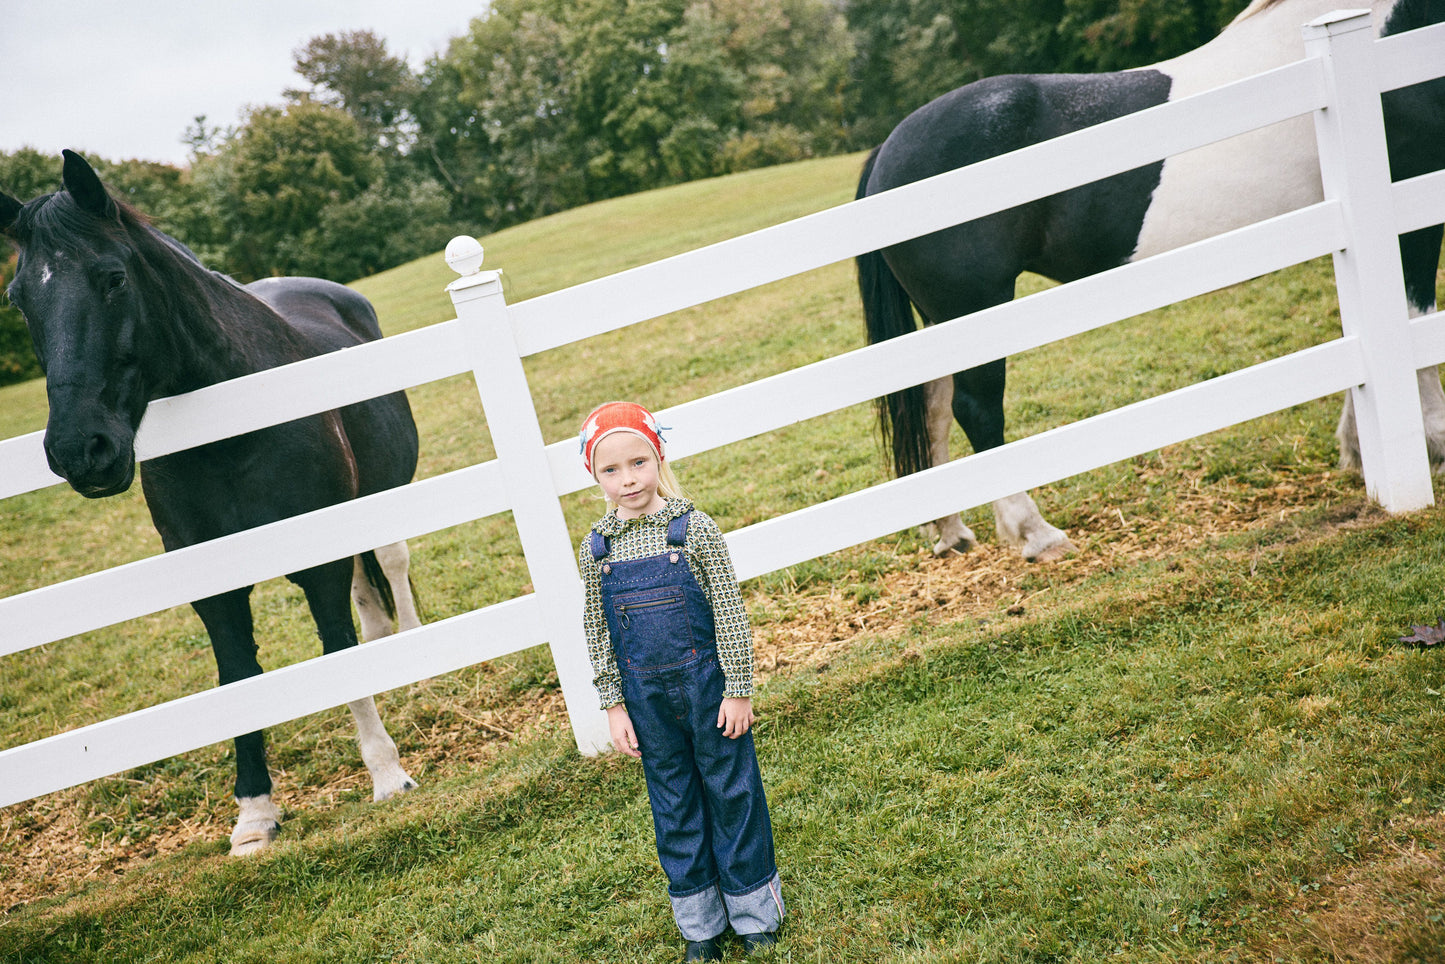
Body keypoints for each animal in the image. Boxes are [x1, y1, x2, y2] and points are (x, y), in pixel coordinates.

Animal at [0, 152, 424, 861]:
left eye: (113, 278)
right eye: (19, 299)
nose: (79, 450)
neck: (232, 427)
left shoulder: (318, 560)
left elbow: (337, 650)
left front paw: (387, 775)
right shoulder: (214, 585)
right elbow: (238, 680)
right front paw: (254, 815)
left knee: (389, 565)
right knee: (369, 597)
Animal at [855, 0, 1445, 557]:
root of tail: (886, 151)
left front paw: (1358, 448)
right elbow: (1415, 320)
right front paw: (1433, 440)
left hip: (945, 321)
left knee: (931, 408)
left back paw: (952, 532)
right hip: (976, 308)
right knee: (975, 410)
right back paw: (1036, 534)